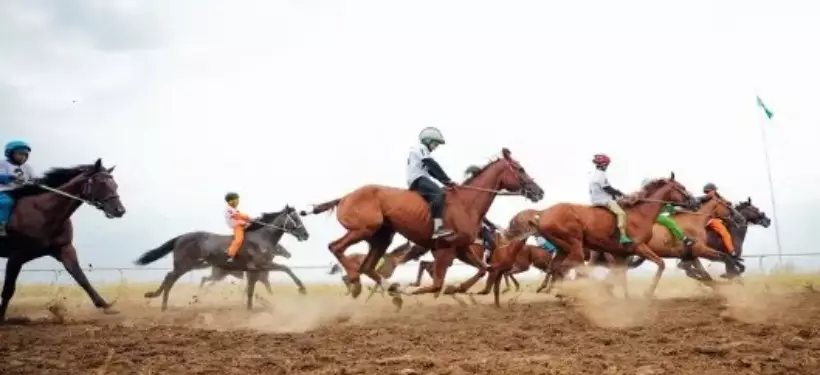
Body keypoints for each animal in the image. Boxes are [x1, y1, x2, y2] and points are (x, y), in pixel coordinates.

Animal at [0, 159, 125, 324]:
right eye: (102, 183)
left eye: (115, 184)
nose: (120, 210)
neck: (43, 212)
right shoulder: (16, 255)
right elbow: (8, 290)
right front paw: (1, 317)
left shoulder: (64, 248)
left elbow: (81, 277)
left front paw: (106, 306)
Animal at [135, 206, 308, 312]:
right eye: (295, 218)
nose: (306, 235)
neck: (261, 238)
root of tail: (180, 238)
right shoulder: (262, 265)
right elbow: (286, 269)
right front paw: (302, 288)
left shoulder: (254, 270)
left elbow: (251, 290)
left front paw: (250, 309)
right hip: (185, 265)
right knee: (170, 278)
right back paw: (162, 303)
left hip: (195, 265)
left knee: (171, 277)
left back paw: (159, 299)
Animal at [302, 148, 544, 310]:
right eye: (520, 169)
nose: (538, 191)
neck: (466, 203)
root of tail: (344, 197)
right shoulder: (445, 249)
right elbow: (437, 285)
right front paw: (416, 290)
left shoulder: (461, 248)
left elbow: (483, 269)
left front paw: (456, 288)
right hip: (363, 229)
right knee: (336, 247)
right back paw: (358, 281)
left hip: (382, 237)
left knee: (368, 267)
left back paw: (392, 291)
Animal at [540, 173, 700, 300]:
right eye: (682, 187)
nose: (695, 202)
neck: (640, 213)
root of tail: (544, 214)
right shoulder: (638, 247)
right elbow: (661, 264)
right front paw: (647, 293)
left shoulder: (621, 254)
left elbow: (620, 275)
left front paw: (622, 296)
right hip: (575, 245)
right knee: (566, 268)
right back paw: (563, 293)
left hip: (562, 247)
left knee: (554, 267)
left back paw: (549, 289)